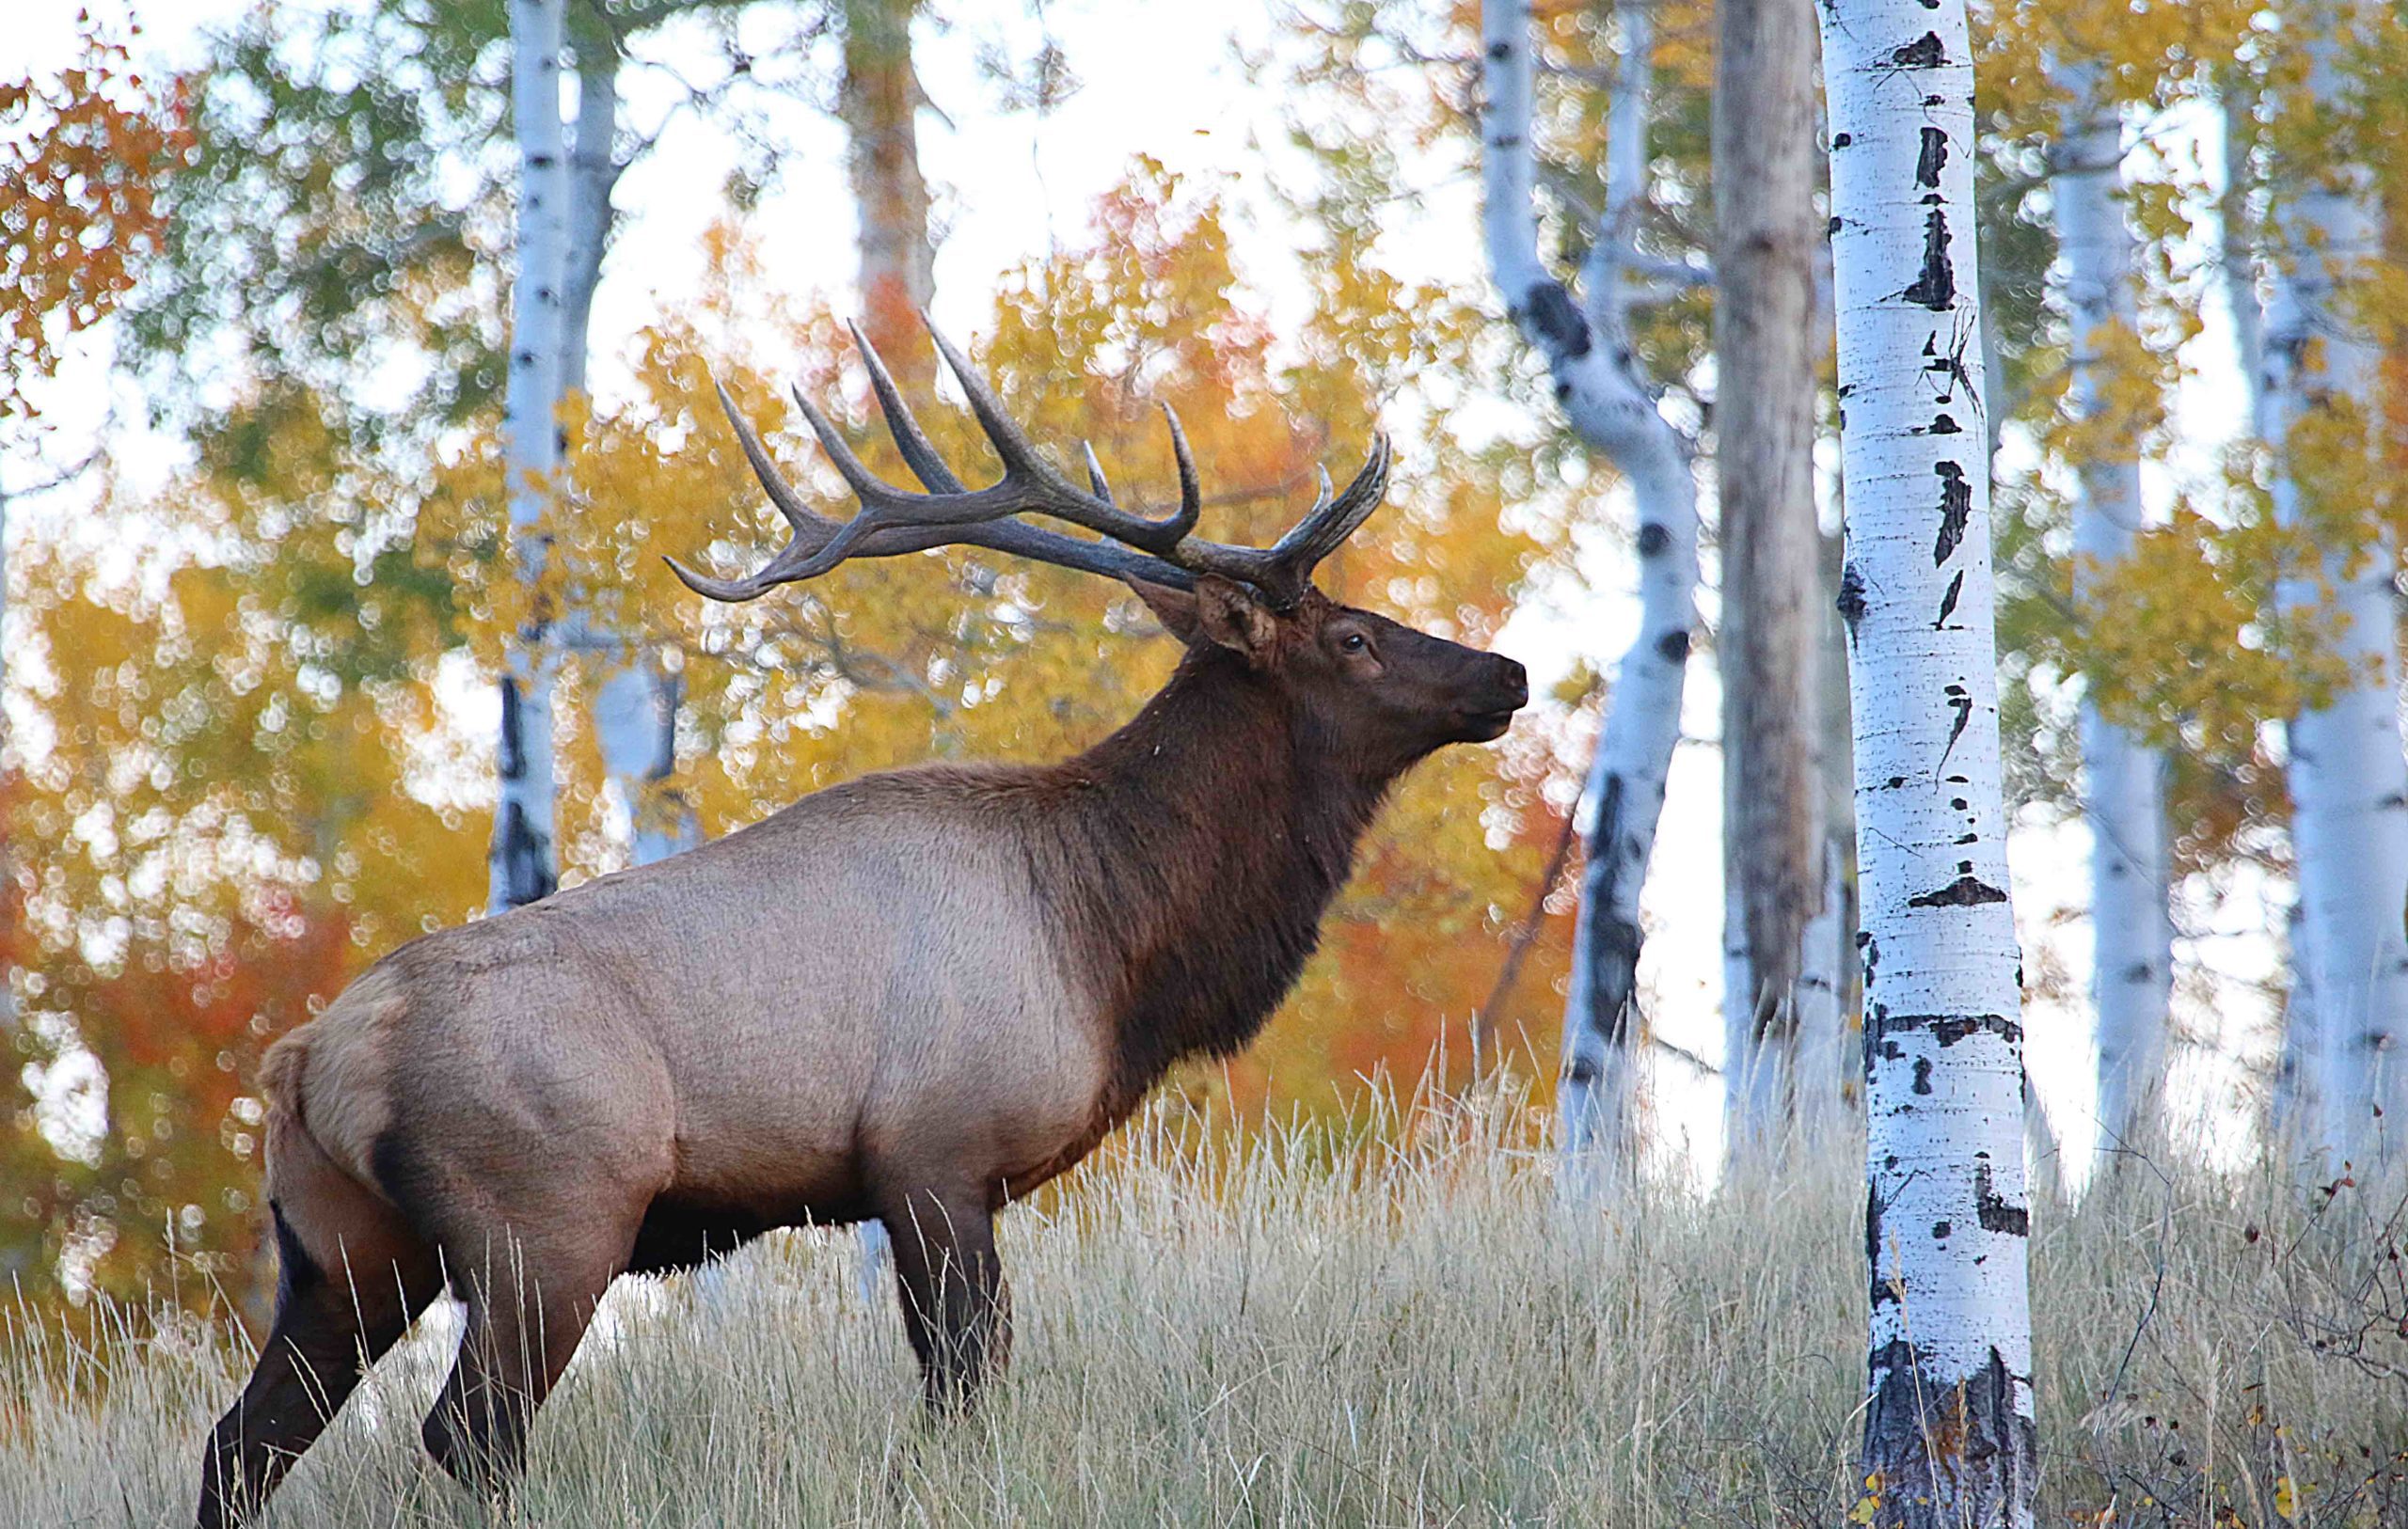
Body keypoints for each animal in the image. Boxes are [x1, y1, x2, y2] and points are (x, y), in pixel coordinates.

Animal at [202, 318, 1521, 1521]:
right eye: (1352, 637)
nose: (1503, 673)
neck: (1109, 940)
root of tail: (306, 1060)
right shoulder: (933, 1153)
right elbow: (967, 1385)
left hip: (342, 1251)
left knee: (242, 1442)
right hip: (546, 1221)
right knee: (466, 1435)